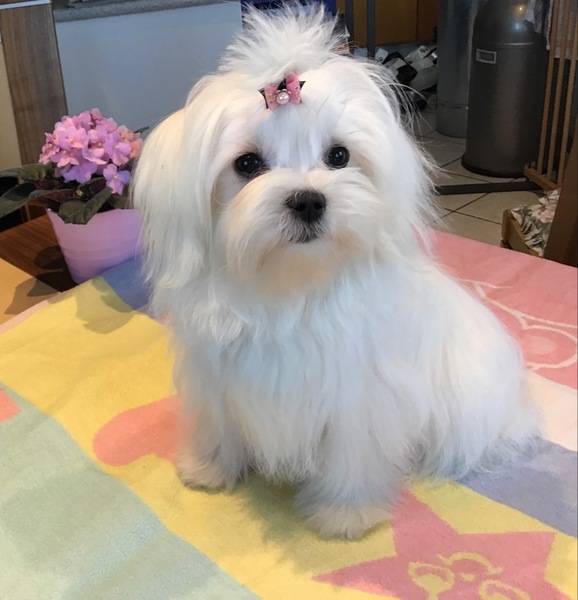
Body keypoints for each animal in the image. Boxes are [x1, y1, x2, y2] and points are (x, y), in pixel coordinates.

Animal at [132, 4, 538, 539]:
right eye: (247, 164)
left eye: (339, 156)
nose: (308, 200)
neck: (292, 288)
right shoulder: (217, 377)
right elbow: (218, 422)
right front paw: (210, 468)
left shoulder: (357, 395)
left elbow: (352, 455)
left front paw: (344, 515)